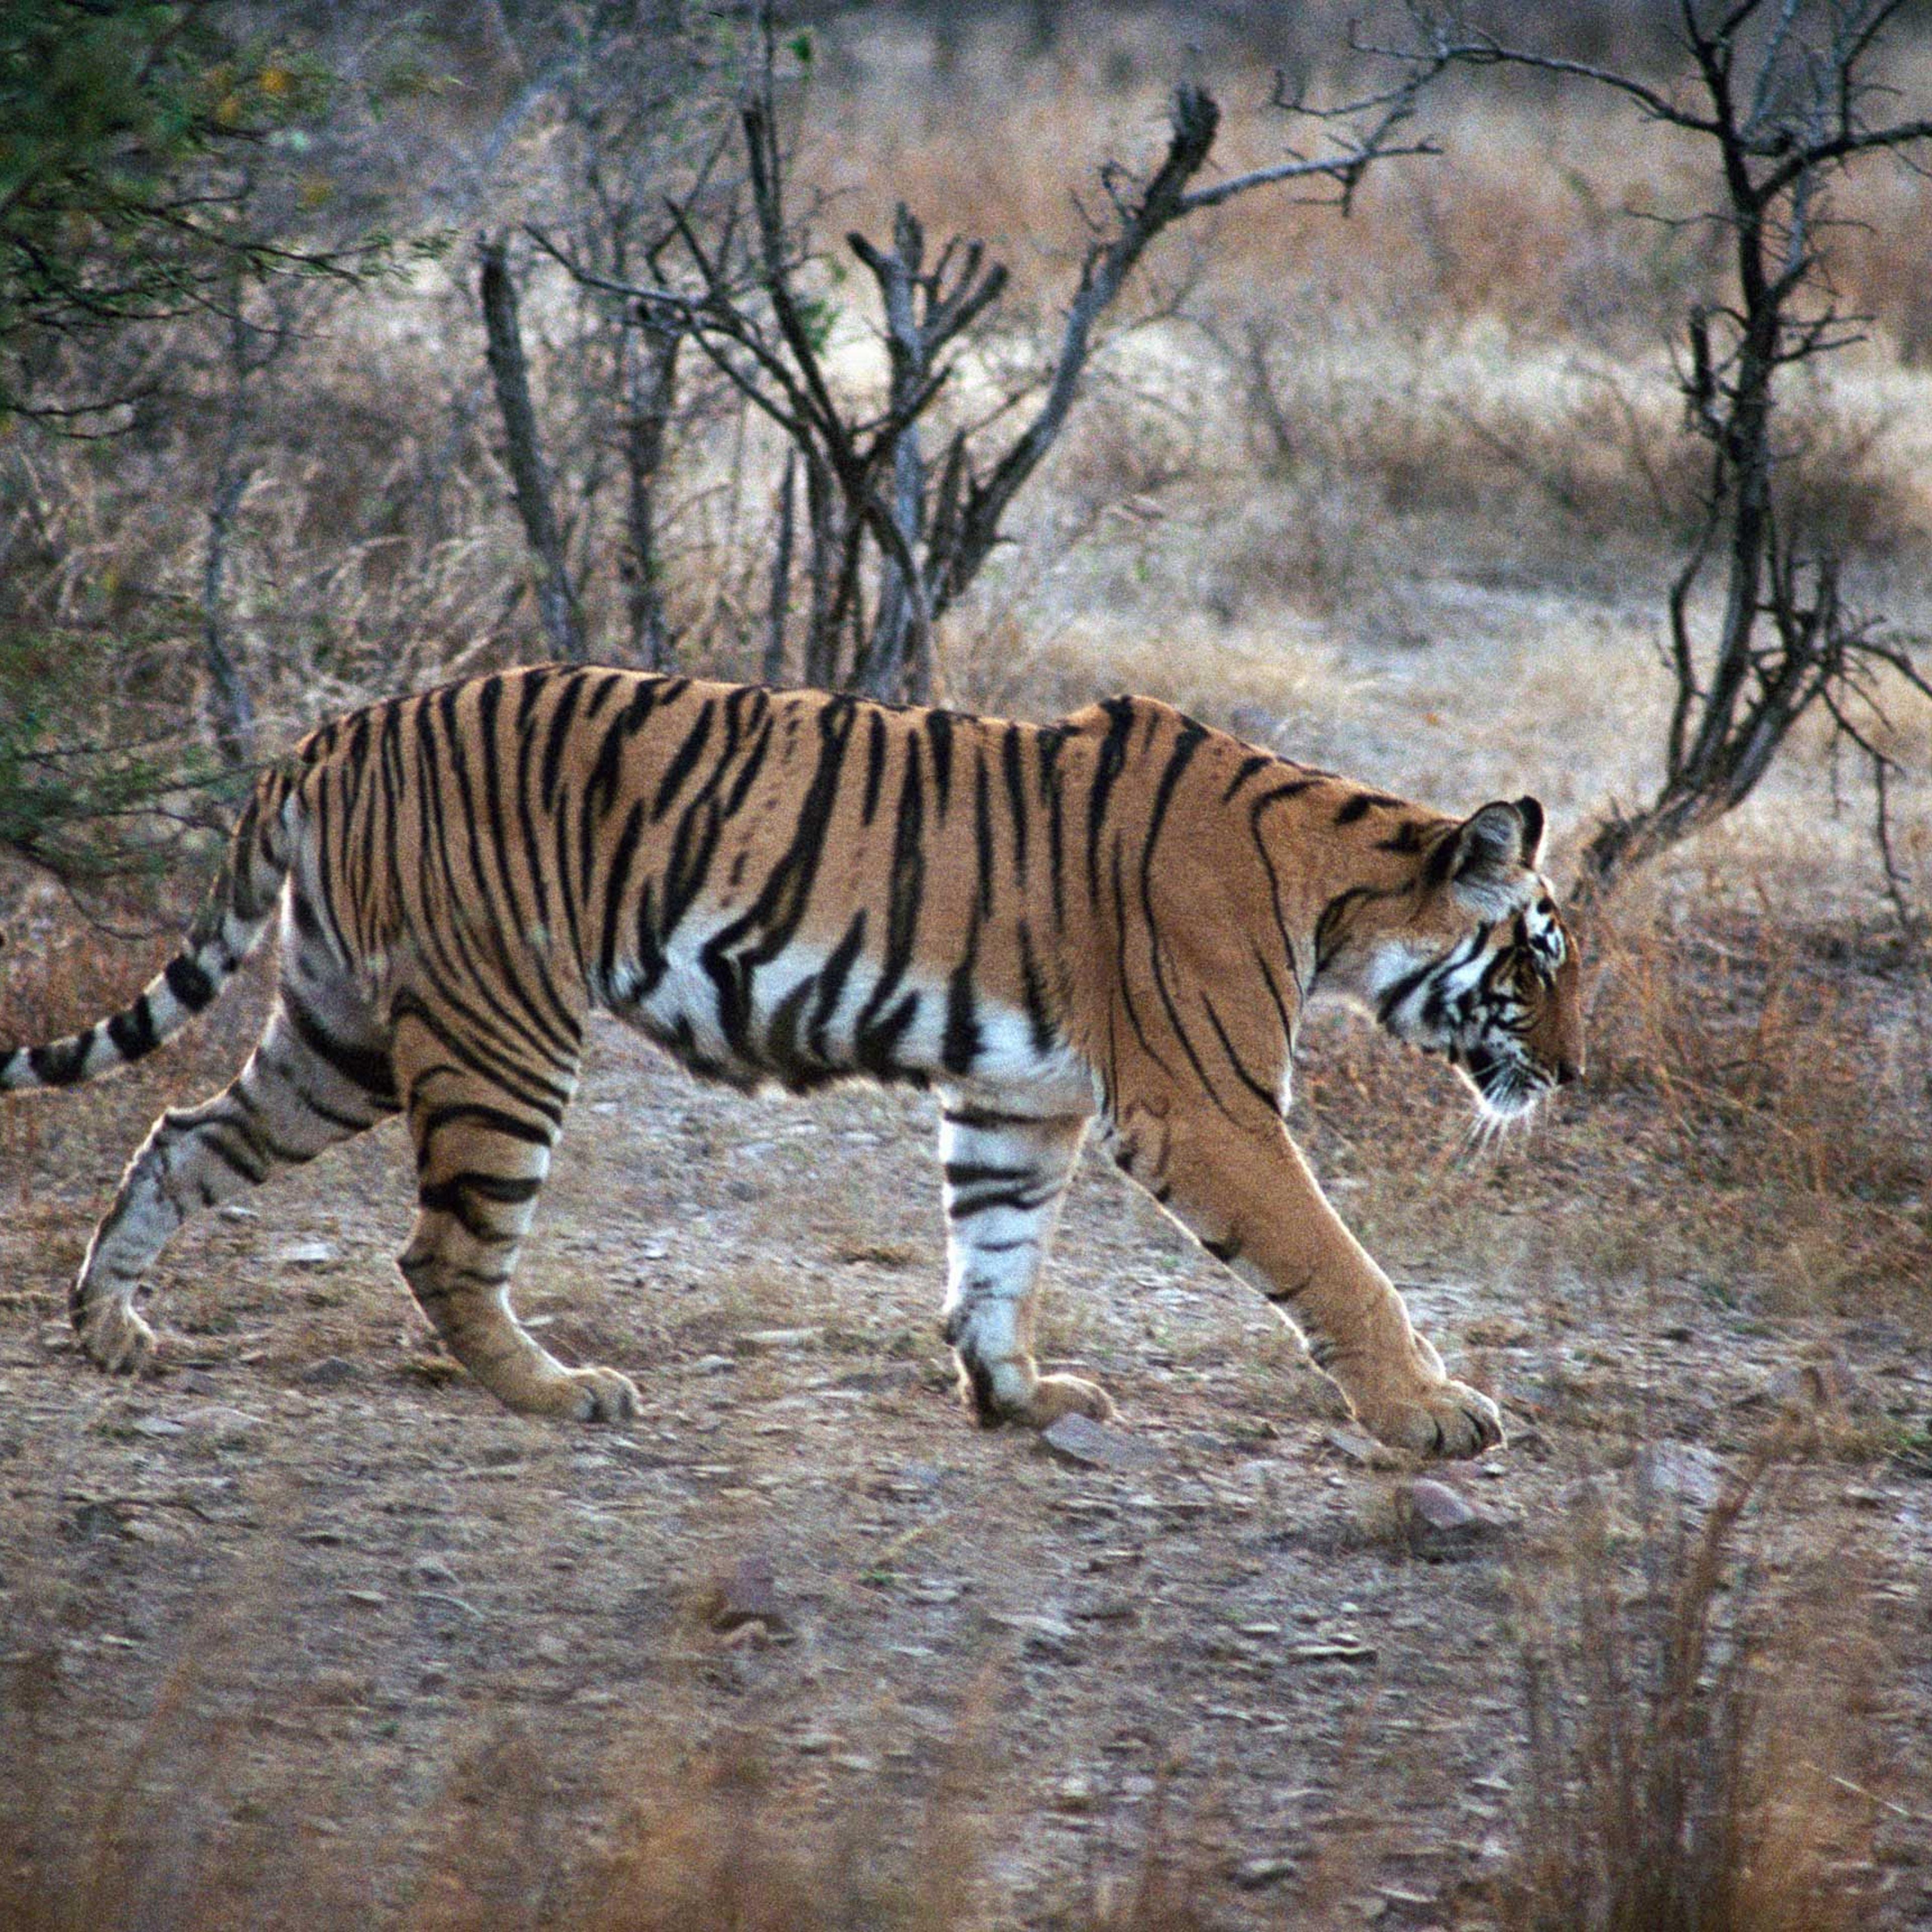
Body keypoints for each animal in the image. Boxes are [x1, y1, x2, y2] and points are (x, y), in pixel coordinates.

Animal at [1, 666, 1583, 1458]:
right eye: (1537, 964)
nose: (1572, 1075)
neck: (1337, 894)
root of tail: (332, 731)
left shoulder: (1020, 1098)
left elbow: (994, 1253)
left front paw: (1014, 1399)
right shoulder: (1206, 1108)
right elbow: (1338, 1266)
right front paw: (1434, 1413)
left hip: (340, 1033)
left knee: (181, 1133)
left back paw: (112, 1326)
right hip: (503, 1027)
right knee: (441, 1250)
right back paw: (558, 1392)